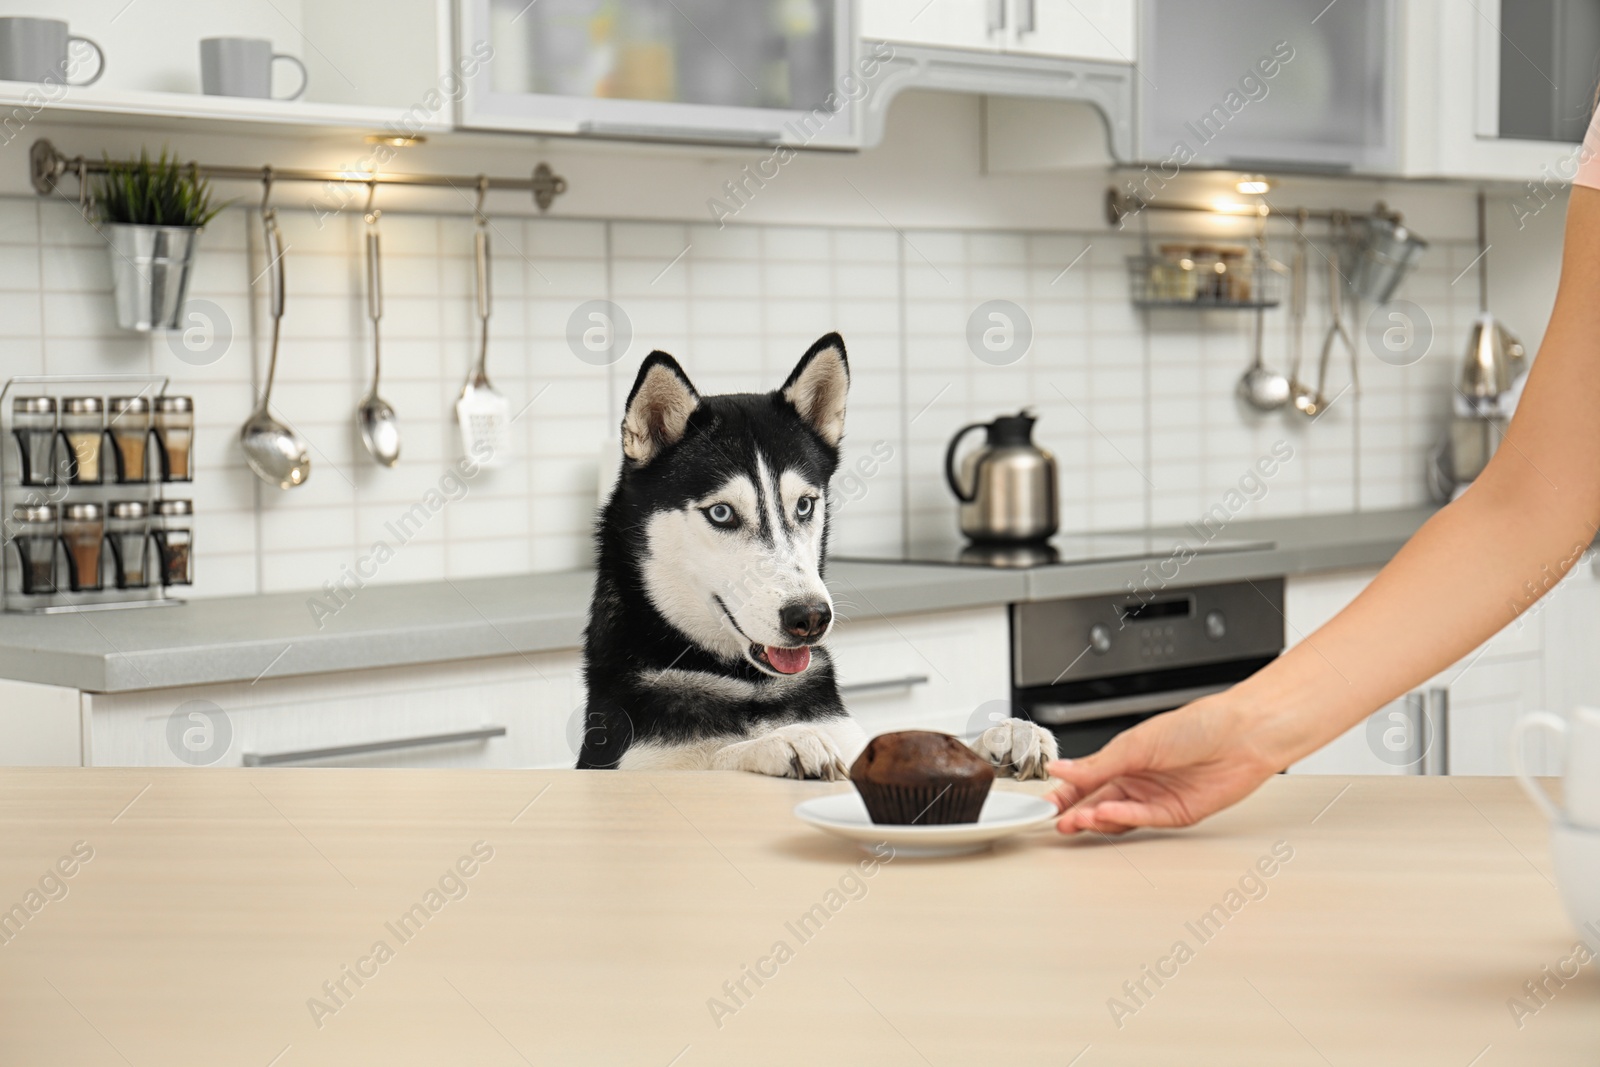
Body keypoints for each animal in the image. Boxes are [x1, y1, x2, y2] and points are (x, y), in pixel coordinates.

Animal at [579, 334, 1062, 783]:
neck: (749, 686)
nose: (809, 617)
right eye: (721, 513)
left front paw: (1005, 735)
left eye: (805, 505)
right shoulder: (624, 766)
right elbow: (713, 760)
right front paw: (781, 742)